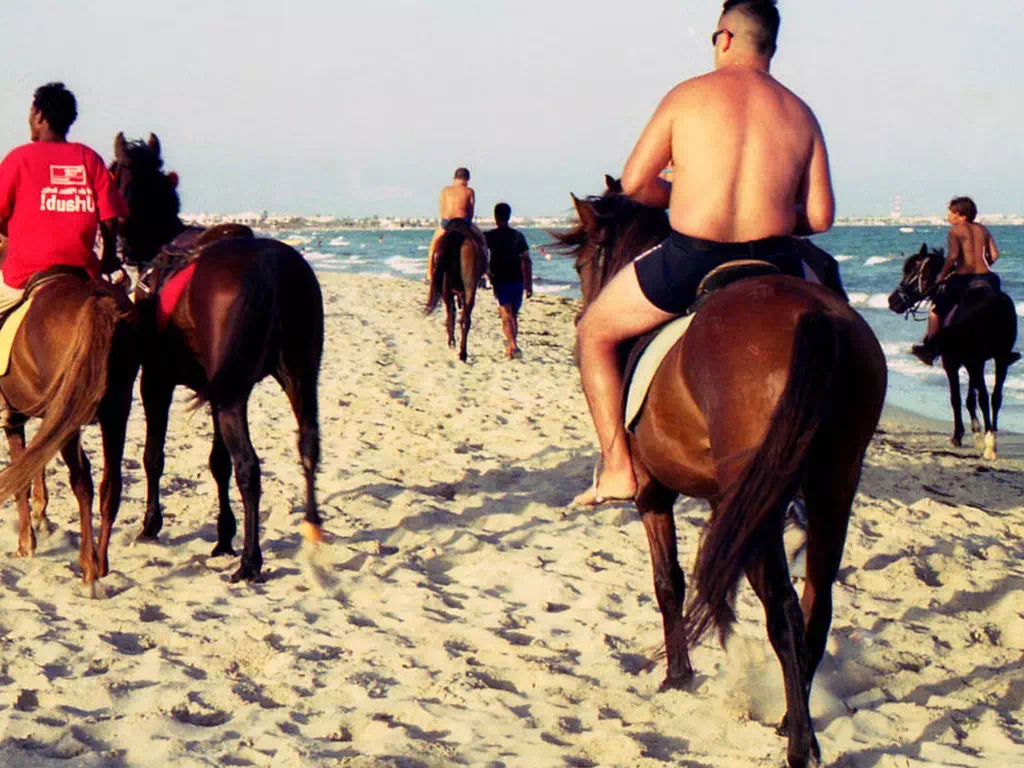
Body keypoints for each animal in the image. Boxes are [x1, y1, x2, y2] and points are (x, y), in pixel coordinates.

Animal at [0, 268, 139, 593]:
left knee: (82, 482)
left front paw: (26, 543)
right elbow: (34, 462)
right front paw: (40, 515)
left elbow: (22, 478)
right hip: (116, 412)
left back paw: (88, 570)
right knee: (109, 485)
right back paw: (101, 563)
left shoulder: (16, 420)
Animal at [111, 135, 323, 585]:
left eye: (111, 172)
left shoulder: (156, 381)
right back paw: (313, 527)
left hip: (232, 396)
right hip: (297, 379)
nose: (121, 248)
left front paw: (151, 524)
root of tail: (274, 267)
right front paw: (224, 535)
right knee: (308, 445)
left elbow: (154, 457)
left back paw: (250, 560)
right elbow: (216, 462)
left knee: (249, 467)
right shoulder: (213, 387)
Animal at [423, 218, 487, 362]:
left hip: (449, 287)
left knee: (451, 314)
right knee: (464, 318)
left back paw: (454, 345)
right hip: (468, 287)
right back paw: (462, 352)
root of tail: (457, 234)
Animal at [557, 186, 884, 768]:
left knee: (782, 610)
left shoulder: (654, 494)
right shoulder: (725, 504)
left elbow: (671, 581)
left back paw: (799, 743)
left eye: (581, 262)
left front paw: (679, 674)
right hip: (831, 482)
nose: (583, 316)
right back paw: (789, 716)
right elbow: (715, 582)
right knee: (815, 602)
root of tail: (813, 316)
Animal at [884, 243, 1019, 456]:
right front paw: (976, 432)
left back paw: (989, 442)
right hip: (998, 359)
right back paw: (992, 437)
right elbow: (970, 397)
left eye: (912, 271)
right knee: (995, 397)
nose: (892, 300)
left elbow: (956, 398)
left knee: (984, 396)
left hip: (975, 361)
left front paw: (959, 436)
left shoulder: (952, 362)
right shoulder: (972, 361)